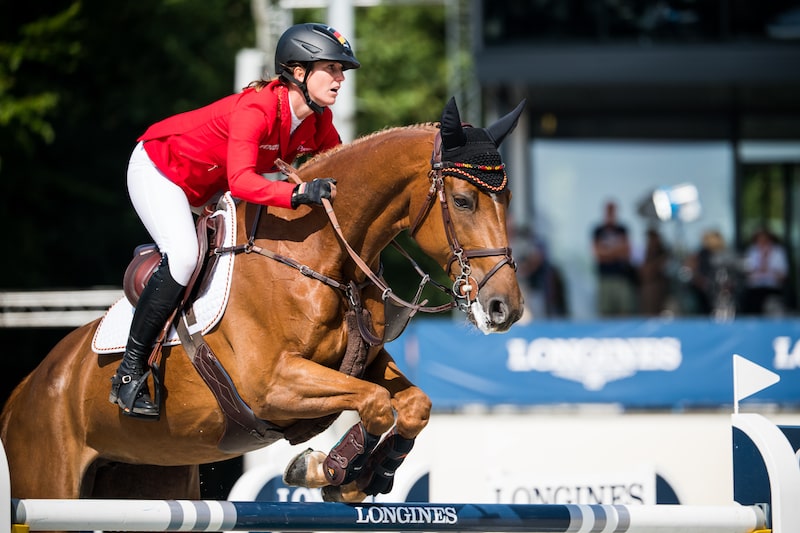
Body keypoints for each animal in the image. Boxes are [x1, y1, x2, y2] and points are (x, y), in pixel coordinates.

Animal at [0, 96, 528, 502]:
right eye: (462, 201)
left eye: (507, 201)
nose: (505, 308)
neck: (318, 252)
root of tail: (22, 392)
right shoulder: (272, 385)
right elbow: (376, 403)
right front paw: (331, 472)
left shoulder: (361, 363)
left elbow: (413, 404)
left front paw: (355, 475)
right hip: (50, 483)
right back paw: (130, 384)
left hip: (147, 478)